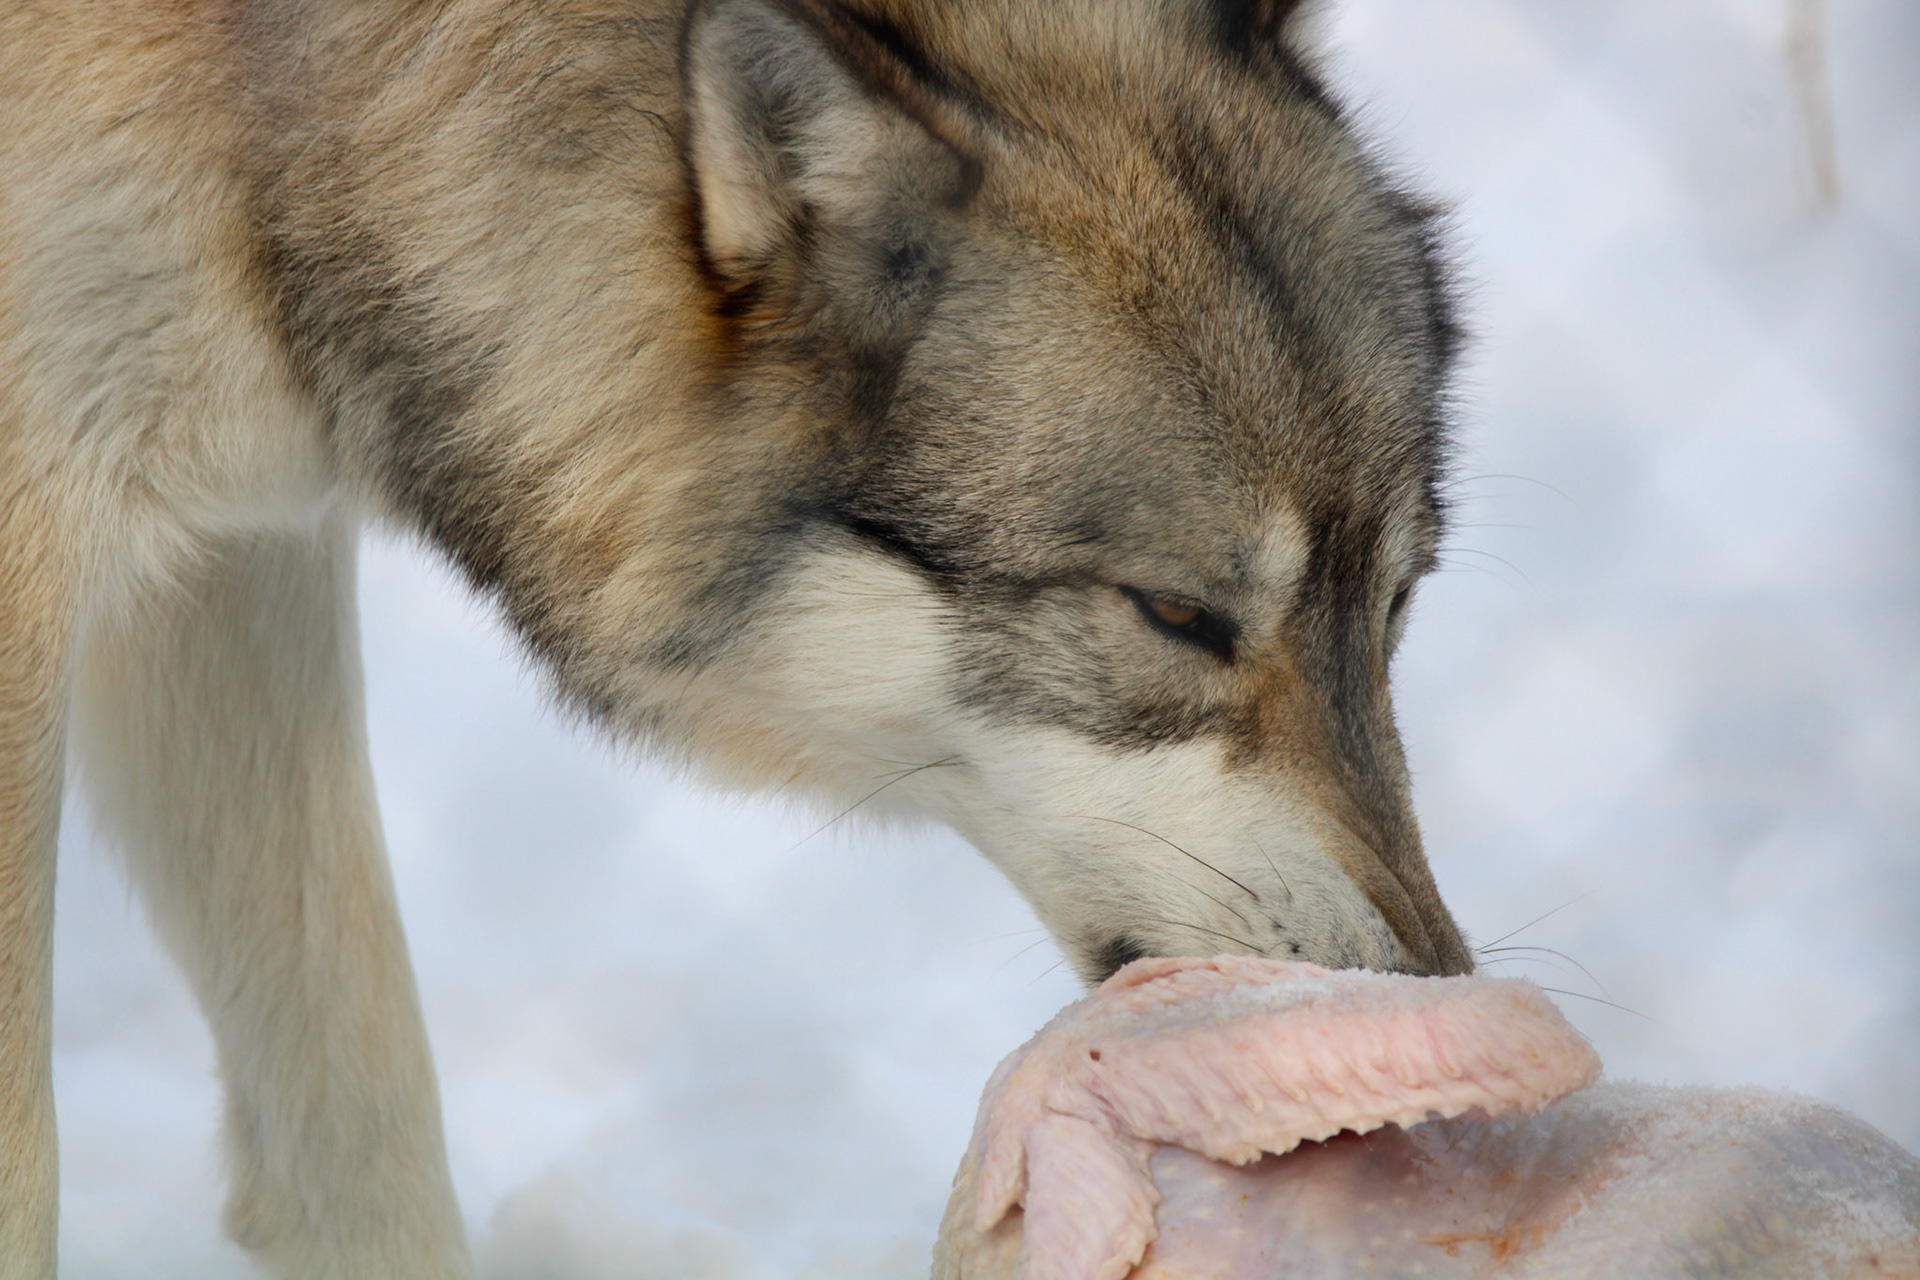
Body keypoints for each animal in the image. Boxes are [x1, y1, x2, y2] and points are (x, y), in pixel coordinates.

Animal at [0, 0, 1473, 1273]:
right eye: (1176, 615)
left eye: (1398, 600)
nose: (1435, 996)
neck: (268, 88)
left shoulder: (238, 547)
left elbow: (362, 1116)